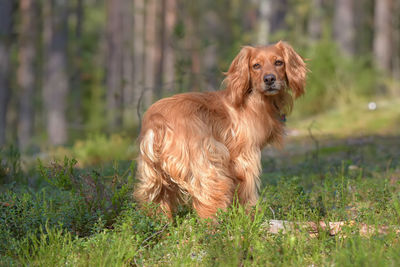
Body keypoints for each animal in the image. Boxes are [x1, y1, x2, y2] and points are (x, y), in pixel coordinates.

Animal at [134, 40, 306, 219]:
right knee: (208, 201)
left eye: (279, 62)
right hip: (208, 165)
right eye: (256, 65)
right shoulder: (245, 157)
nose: (269, 79)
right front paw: (250, 216)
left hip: (154, 177)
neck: (255, 100)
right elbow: (248, 191)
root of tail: (158, 119)